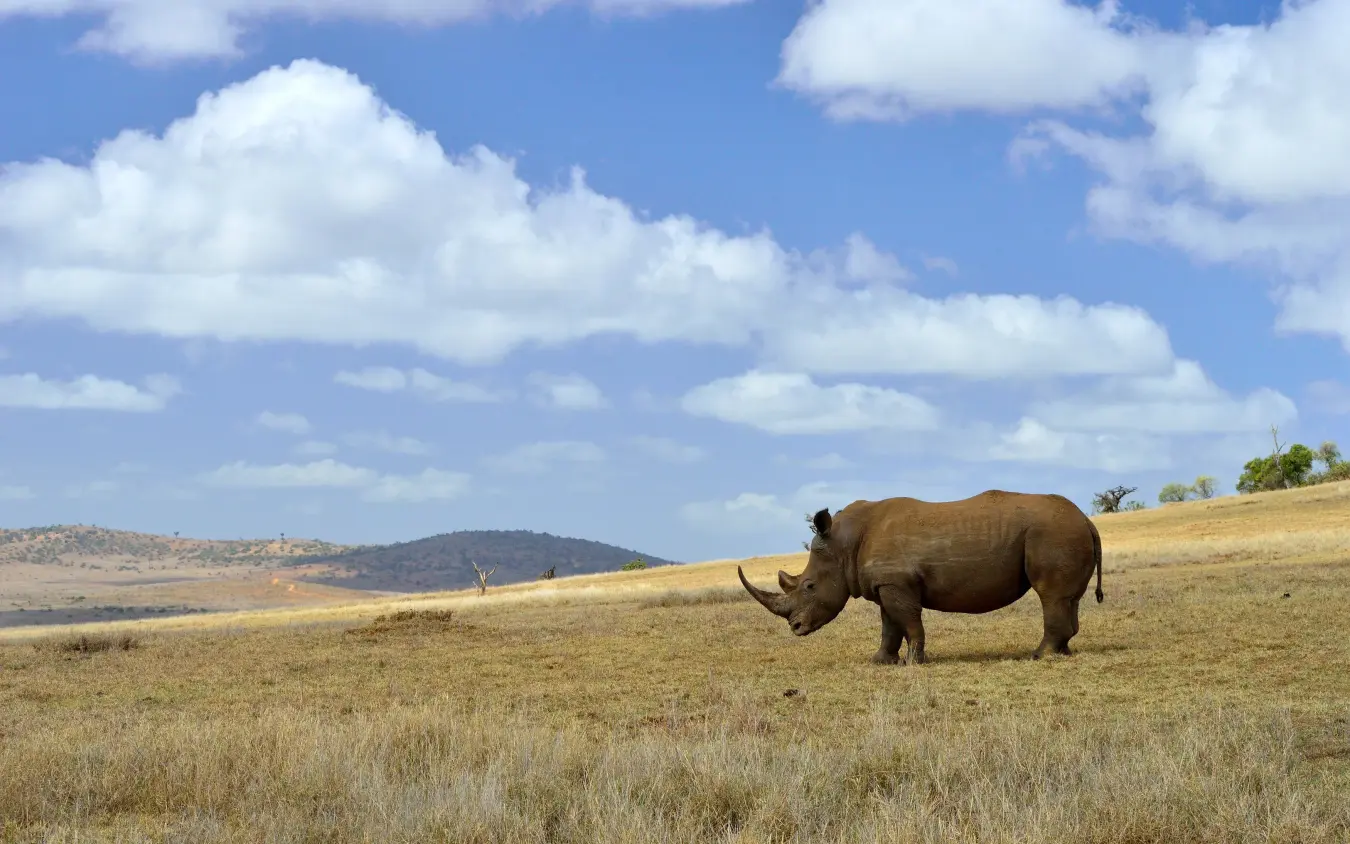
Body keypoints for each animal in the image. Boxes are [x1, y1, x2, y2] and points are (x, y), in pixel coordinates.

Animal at [737, 490, 1103, 664]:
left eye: (810, 586)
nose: (795, 628)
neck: (843, 545)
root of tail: (1086, 519)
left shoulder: (898, 582)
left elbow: (909, 621)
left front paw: (914, 661)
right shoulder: (886, 584)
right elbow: (889, 625)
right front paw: (880, 662)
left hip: (1052, 533)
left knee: (1049, 594)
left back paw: (1039, 655)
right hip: (1063, 532)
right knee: (1068, 599)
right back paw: (1063, 652)